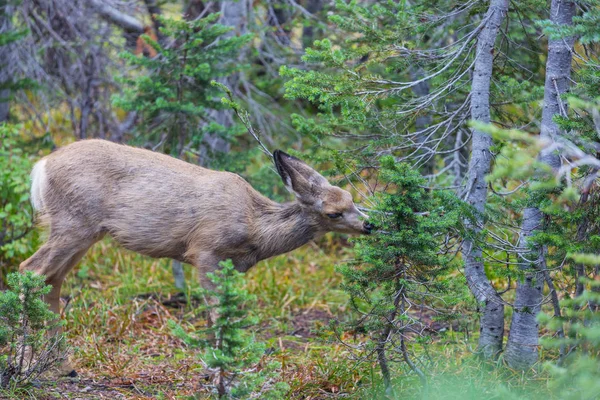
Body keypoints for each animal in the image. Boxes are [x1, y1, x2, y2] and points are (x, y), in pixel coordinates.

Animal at [18, 139, 372, 374]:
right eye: (334, 212)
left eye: (351, 197)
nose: (370, 224)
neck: (255, 229)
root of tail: (40, 167)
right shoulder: (205, 250)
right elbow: (216, 311)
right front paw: (218, 367)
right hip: (74, 223)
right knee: (29, 269)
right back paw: (24, 363)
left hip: (82, 233)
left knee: (52, 281)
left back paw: (62, 363)